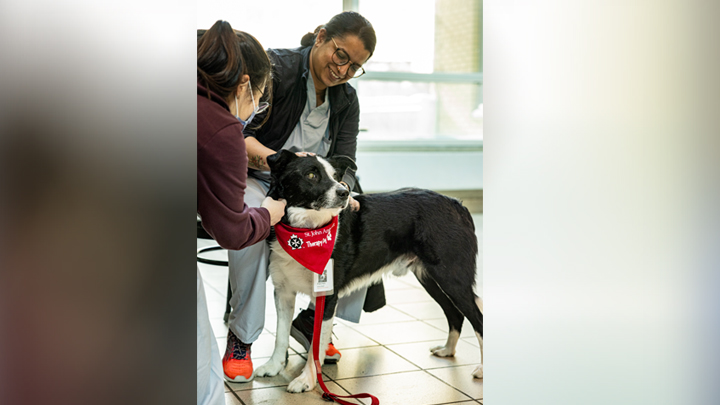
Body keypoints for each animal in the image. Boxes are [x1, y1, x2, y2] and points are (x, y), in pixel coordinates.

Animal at [253, 151, 484, 392]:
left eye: (336, 176)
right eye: (311, 174)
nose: (344, 192)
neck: (304, 232)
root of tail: (457, 204)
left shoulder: (327, 295)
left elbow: (316, 345)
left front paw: (306, 380)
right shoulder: (283, 292)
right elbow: (281, 335)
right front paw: (273, 367)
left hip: (452, 278)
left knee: (477, 318)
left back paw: (481, 369)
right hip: (431, 278)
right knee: (455, 314)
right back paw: (448, 350)